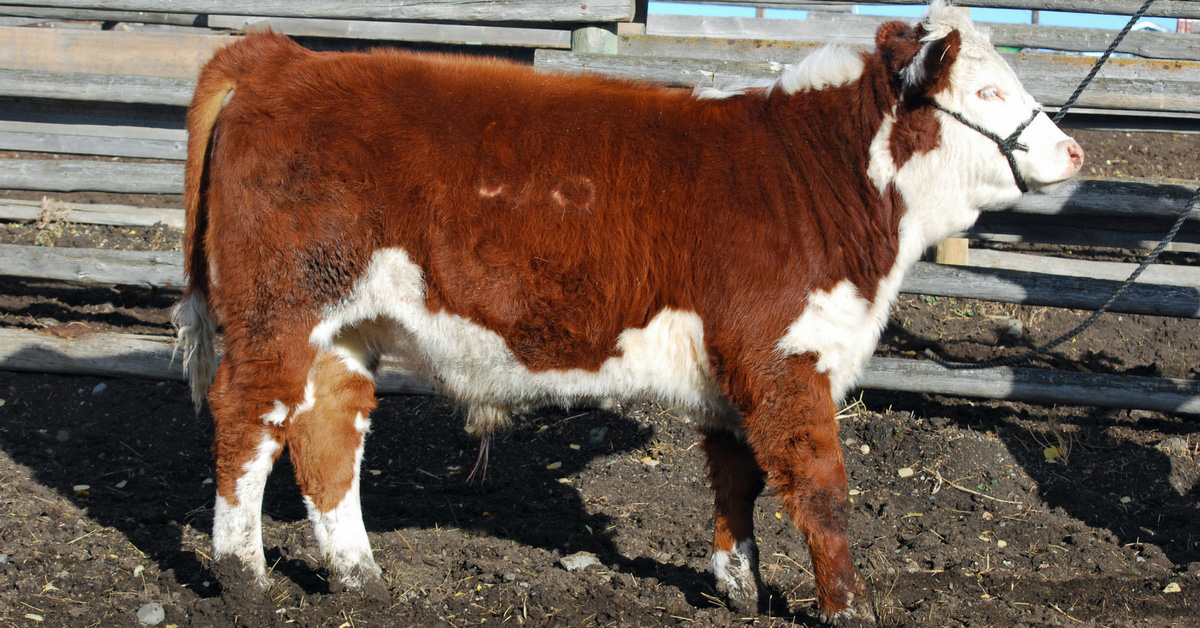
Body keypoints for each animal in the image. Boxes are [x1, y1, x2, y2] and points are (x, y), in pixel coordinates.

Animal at [172, 1, 1083, 620]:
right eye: (990, 89)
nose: (1073, 150)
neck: (813, 174)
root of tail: (281, 58)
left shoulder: (734, 366)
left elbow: (736, 475)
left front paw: (738, 585)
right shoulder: (786, 356)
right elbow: (820, 486)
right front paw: (847, 604)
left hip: (344, 330)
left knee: (327, 433)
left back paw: (361, 578)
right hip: (275, 313)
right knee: (247, 422)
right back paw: (244, 576)